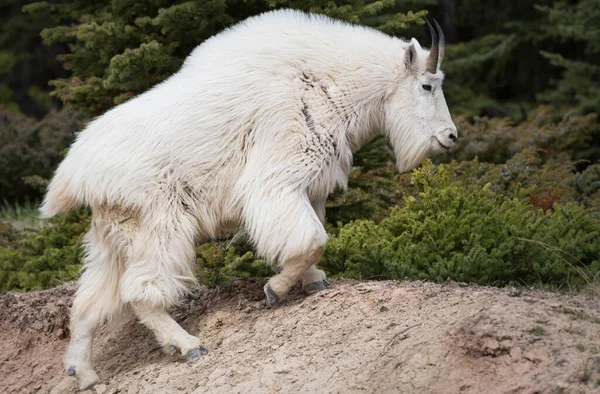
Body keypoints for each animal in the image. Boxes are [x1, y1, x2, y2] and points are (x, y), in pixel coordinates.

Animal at [39, 7, 458, 390]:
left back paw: (85, 373)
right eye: (427, 86)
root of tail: (74, 174)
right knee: (140, 292)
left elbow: (313, 237)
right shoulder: (277, 178)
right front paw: (275, 289)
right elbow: (312, 239)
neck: (326, 85)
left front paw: (314, 281)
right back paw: (188, 345)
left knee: (87, 304)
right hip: (158, 223)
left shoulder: (312, 187)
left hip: (112, 235)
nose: (451, 137)